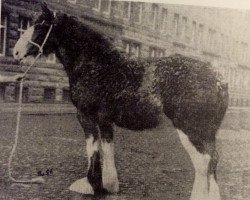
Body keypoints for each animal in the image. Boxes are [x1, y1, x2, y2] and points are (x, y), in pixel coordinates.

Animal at [13, 3, 229, 200]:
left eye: (41, 25)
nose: (16, 53)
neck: (95, 64)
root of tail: (219, 80)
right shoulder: (105, 121)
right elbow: (108, 149)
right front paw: (109, 185)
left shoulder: (86, 116)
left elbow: (93, 149)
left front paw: (91, 185)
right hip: (207, 132)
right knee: (213, 160)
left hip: (190, 129)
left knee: (203, 162)